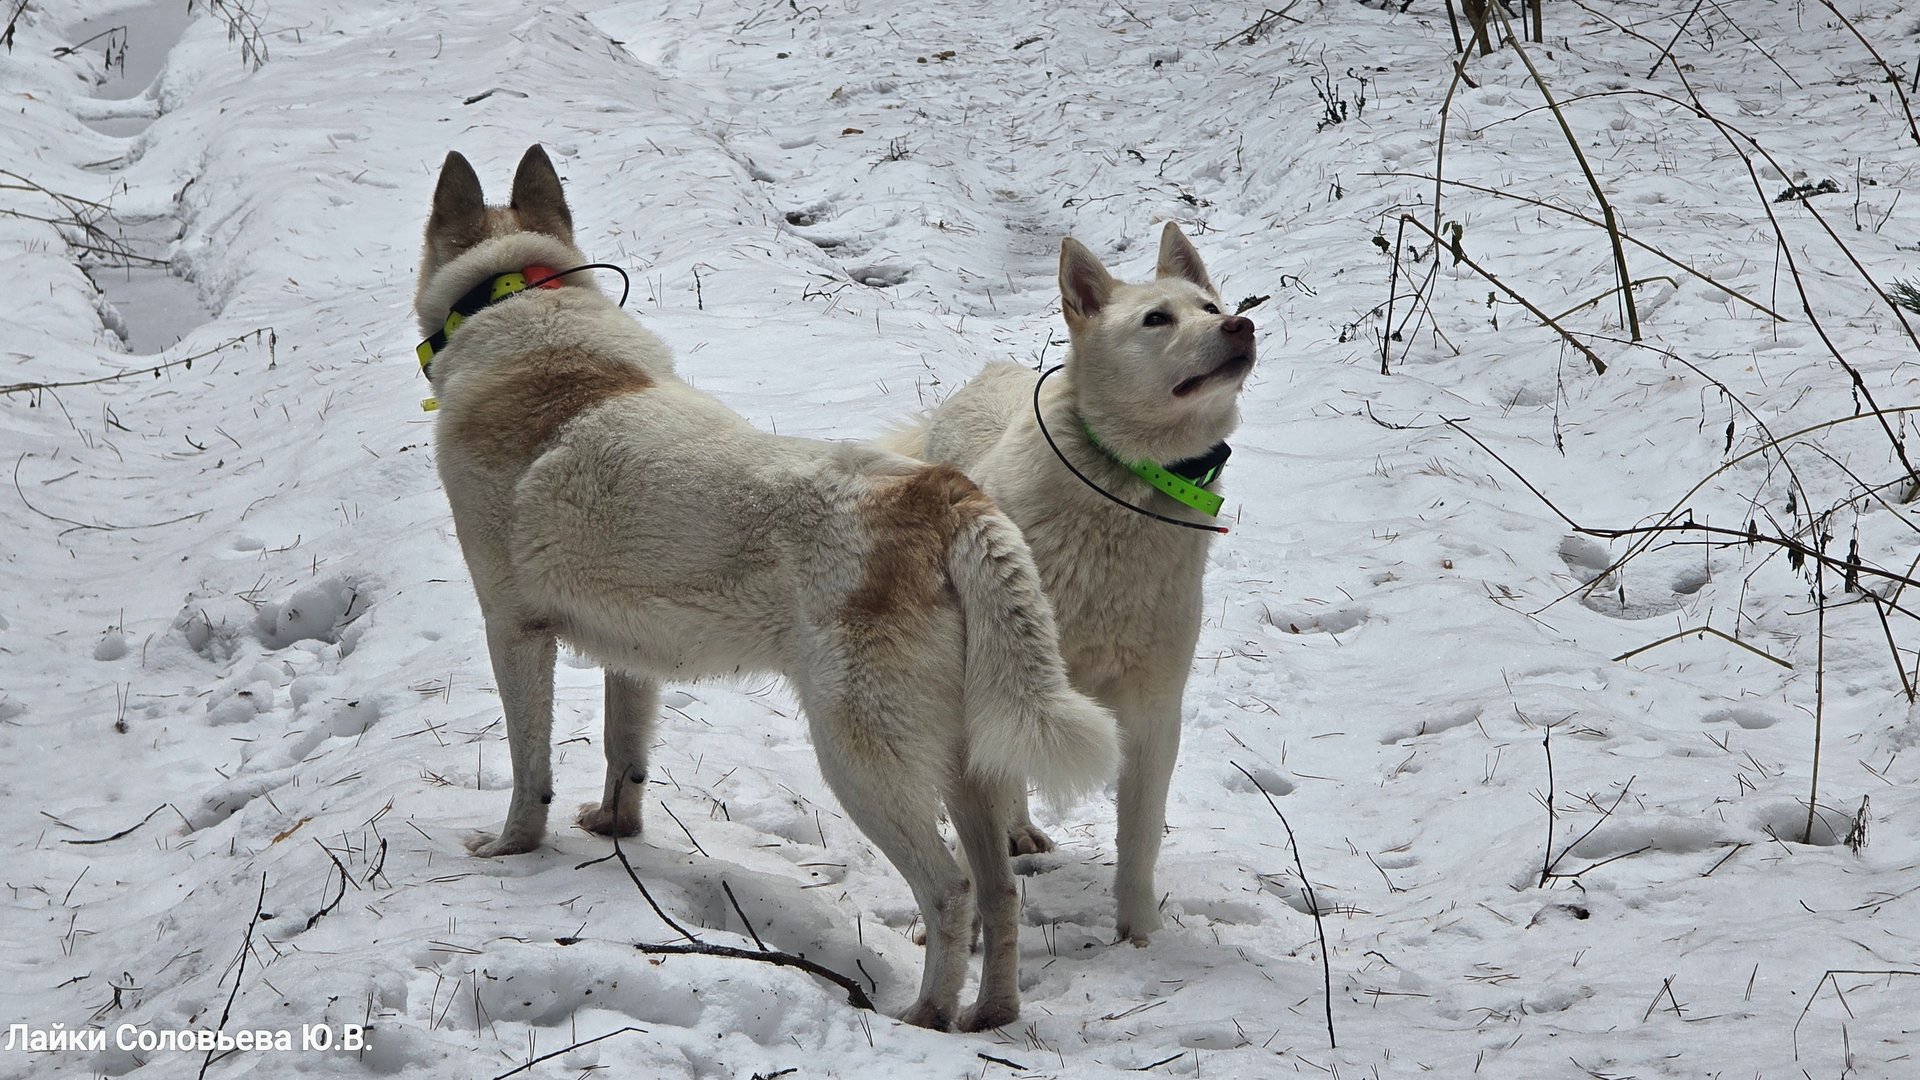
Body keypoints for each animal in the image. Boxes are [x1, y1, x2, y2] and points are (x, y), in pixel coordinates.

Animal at [413, 145, 1118, 1031]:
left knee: (950, 888)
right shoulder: (630, 653)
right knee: (999, 893)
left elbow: (526, 770)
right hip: (970, 764)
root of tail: (942, 494)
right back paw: (989, 1015)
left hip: (860, 758)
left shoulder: (512, 630)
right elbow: (623, 754)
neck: (524, 307)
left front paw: (513, 850)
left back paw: (924, 1016)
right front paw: (615, 830)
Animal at [884, 222, 1254, 944]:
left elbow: (1140, 838)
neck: (1129, 480)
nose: (1241, 324)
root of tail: (989, 375)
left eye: (1208, 305)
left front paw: (1139, 935)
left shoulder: (1152, 711)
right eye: (1157, 319)